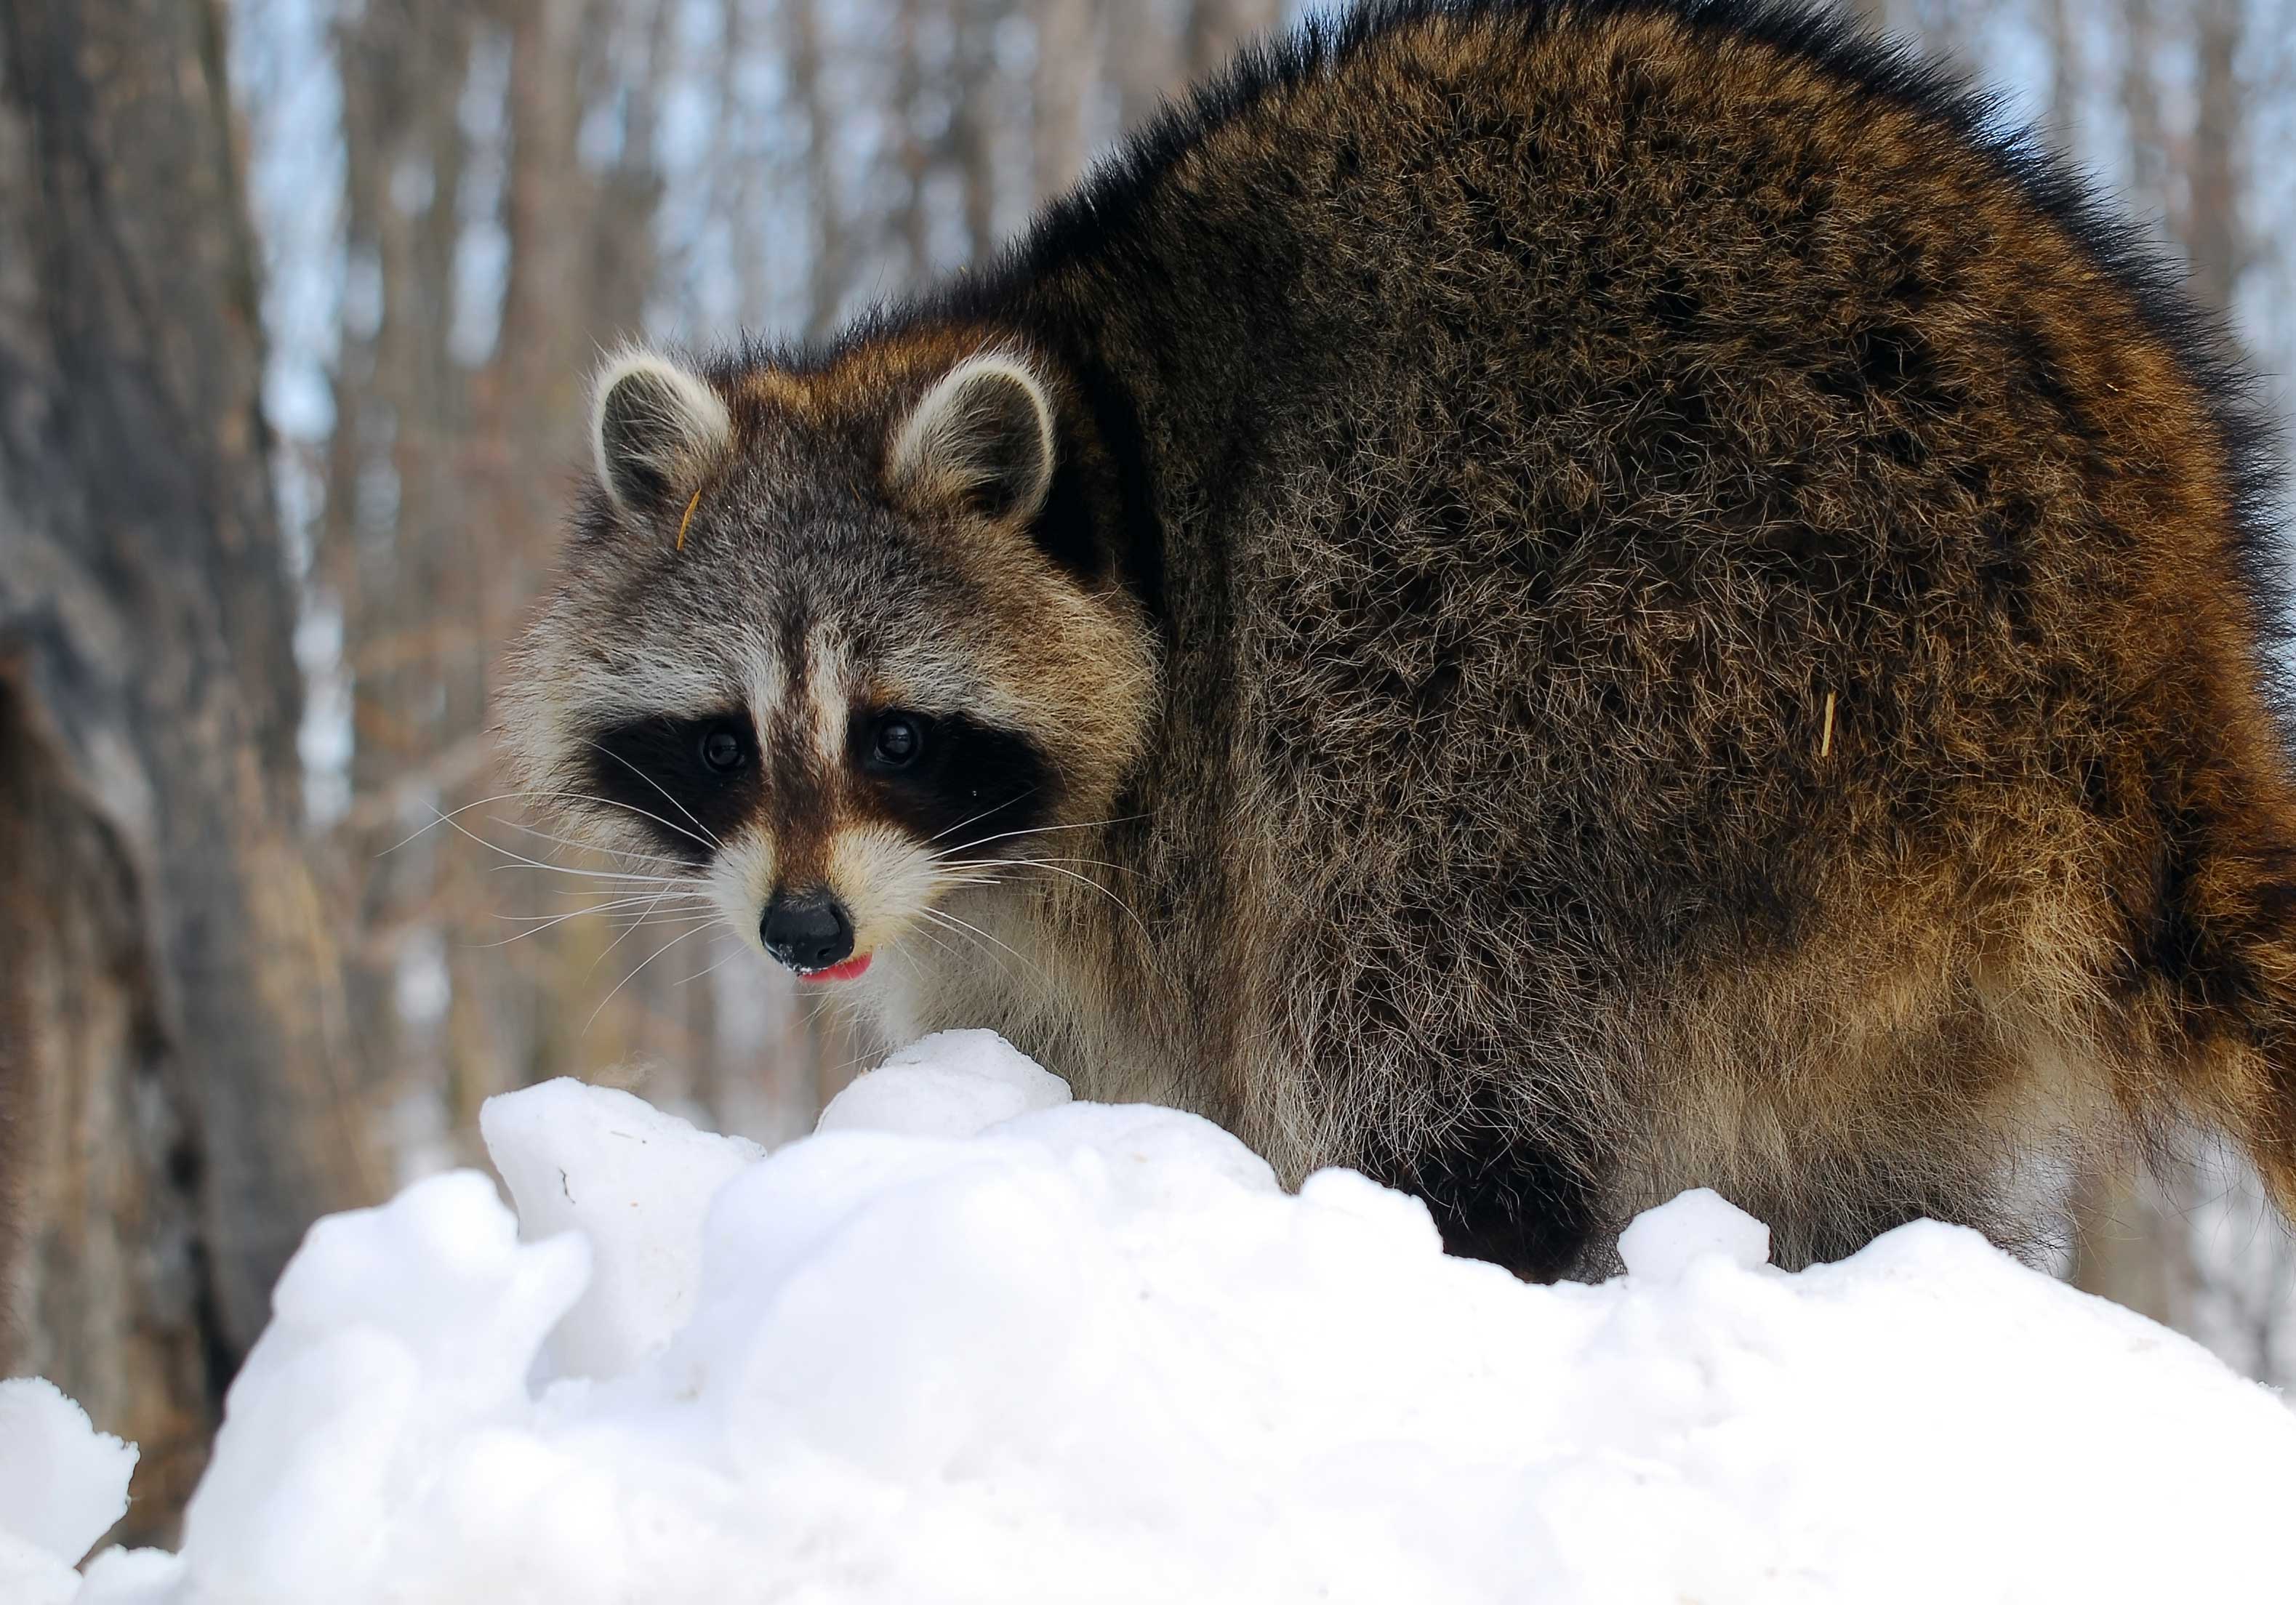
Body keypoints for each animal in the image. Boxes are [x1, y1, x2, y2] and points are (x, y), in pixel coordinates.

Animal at [501, 0, 2296, 1280]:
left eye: (893, 730)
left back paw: (1454, 1230)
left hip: (1593, 630)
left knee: (1398, 933)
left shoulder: (1158, 827)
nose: (800, 931)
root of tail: (2148, 627)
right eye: (720, 739)